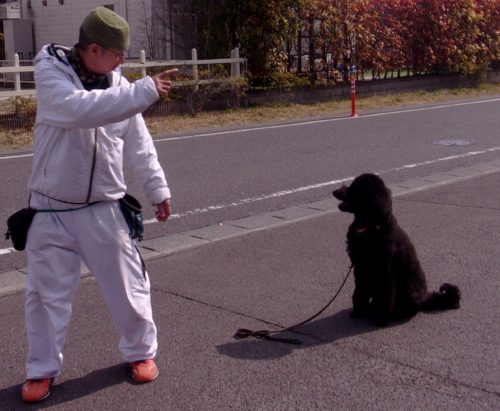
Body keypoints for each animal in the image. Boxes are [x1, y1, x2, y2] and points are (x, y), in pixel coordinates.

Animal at [332, 173, 460, 326]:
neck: (370, 227)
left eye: (354, 187)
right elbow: (359, 292)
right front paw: (357, 312)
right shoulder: (360, 268)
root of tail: (425, 298)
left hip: (408, 292)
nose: (334, 191)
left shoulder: (385, 273)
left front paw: (381, 320)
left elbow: (384, 299)